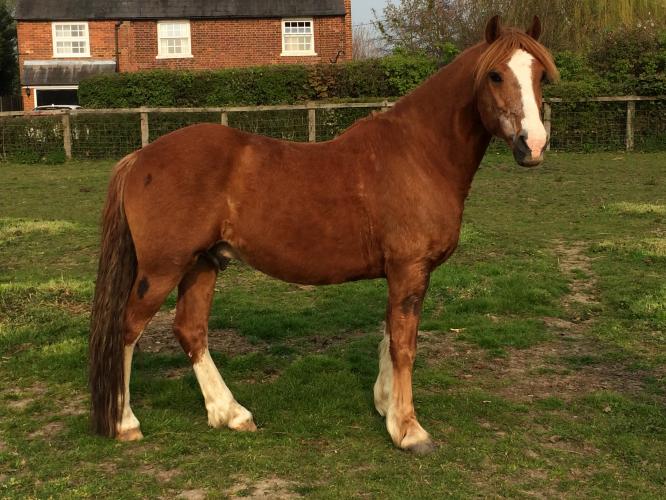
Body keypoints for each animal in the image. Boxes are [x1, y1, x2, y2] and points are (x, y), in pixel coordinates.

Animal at [89, 15, 558, 454]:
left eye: (539, 75)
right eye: (495, 74)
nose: (533, 144)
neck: (420, 154)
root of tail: (139, 158)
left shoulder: (401, 273)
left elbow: (389, 335)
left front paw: (386, 406)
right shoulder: (410, 269)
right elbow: (404, 345)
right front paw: (409, 430)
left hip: (202, 264)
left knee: (190, 331)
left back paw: (231, 413)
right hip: (162, 270)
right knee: (128, 330)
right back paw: (126, 423)